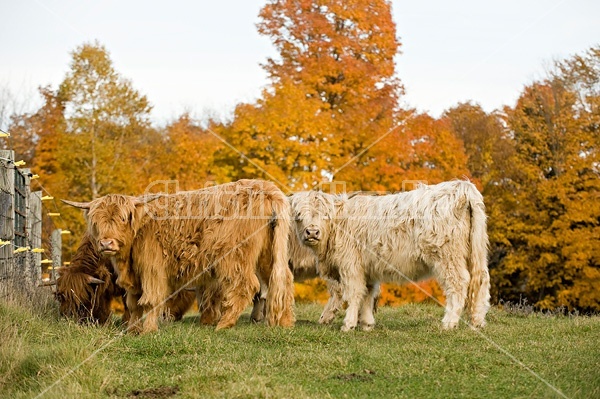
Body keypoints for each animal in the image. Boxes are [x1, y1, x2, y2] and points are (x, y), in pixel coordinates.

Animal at [290, 181, 492, 332]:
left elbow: (355, 292)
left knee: (458, 283)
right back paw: (477, 321)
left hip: (447, 256)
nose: (312, 232)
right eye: (299, 215)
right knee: (481, 279)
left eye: (325, 215)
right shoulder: (367, 268)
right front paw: (367, 324)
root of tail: (460, 186)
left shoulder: (351, 265)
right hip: (476, 251)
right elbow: (367, 294)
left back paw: (449, 322)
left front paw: (348, 324)